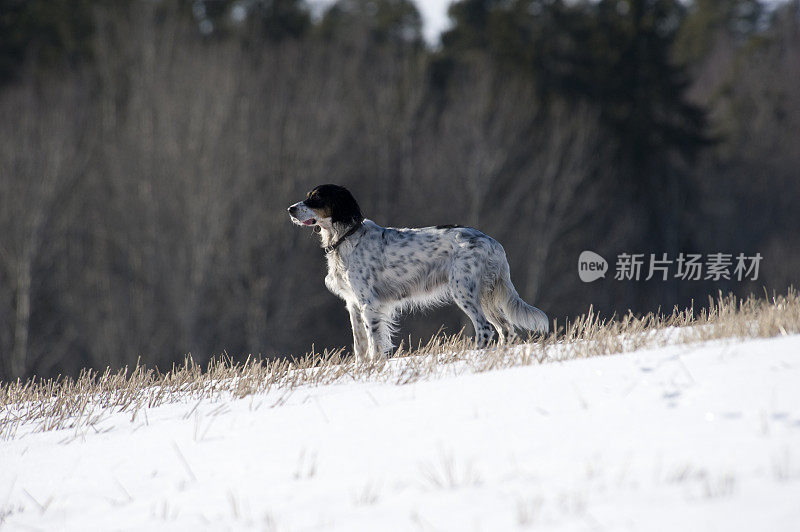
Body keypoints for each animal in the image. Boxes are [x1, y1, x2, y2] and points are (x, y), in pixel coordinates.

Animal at [288, 183, 552, 362]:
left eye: (316, 197)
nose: (290, 209)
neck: (347, 238)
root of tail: (493, 243)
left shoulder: (369, 303)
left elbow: (374, 343)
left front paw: (374, 366)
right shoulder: (353, 304)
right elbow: (359, 344)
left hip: (464, 291)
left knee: (485, 329)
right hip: (485, 295)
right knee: (506, 330)